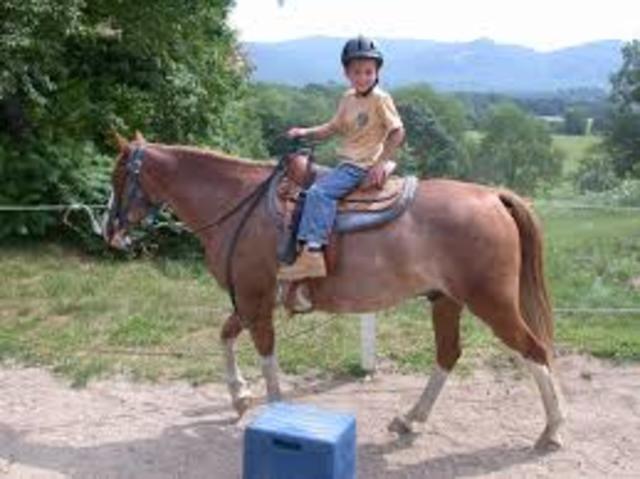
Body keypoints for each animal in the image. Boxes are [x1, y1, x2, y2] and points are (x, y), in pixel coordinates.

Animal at [103, 132, 565, 451]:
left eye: (119, 175)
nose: (109, 231)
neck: (240, 203)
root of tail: (493, 196)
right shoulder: (253, 299)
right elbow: (226, 336)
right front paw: (239, 396)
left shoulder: (254, 300)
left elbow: (265, 355)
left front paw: (270, 408)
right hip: (445, 300)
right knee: (448, 355)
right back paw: (410, 419)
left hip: (492, 303)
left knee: (535, 350)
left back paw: (552, 431)